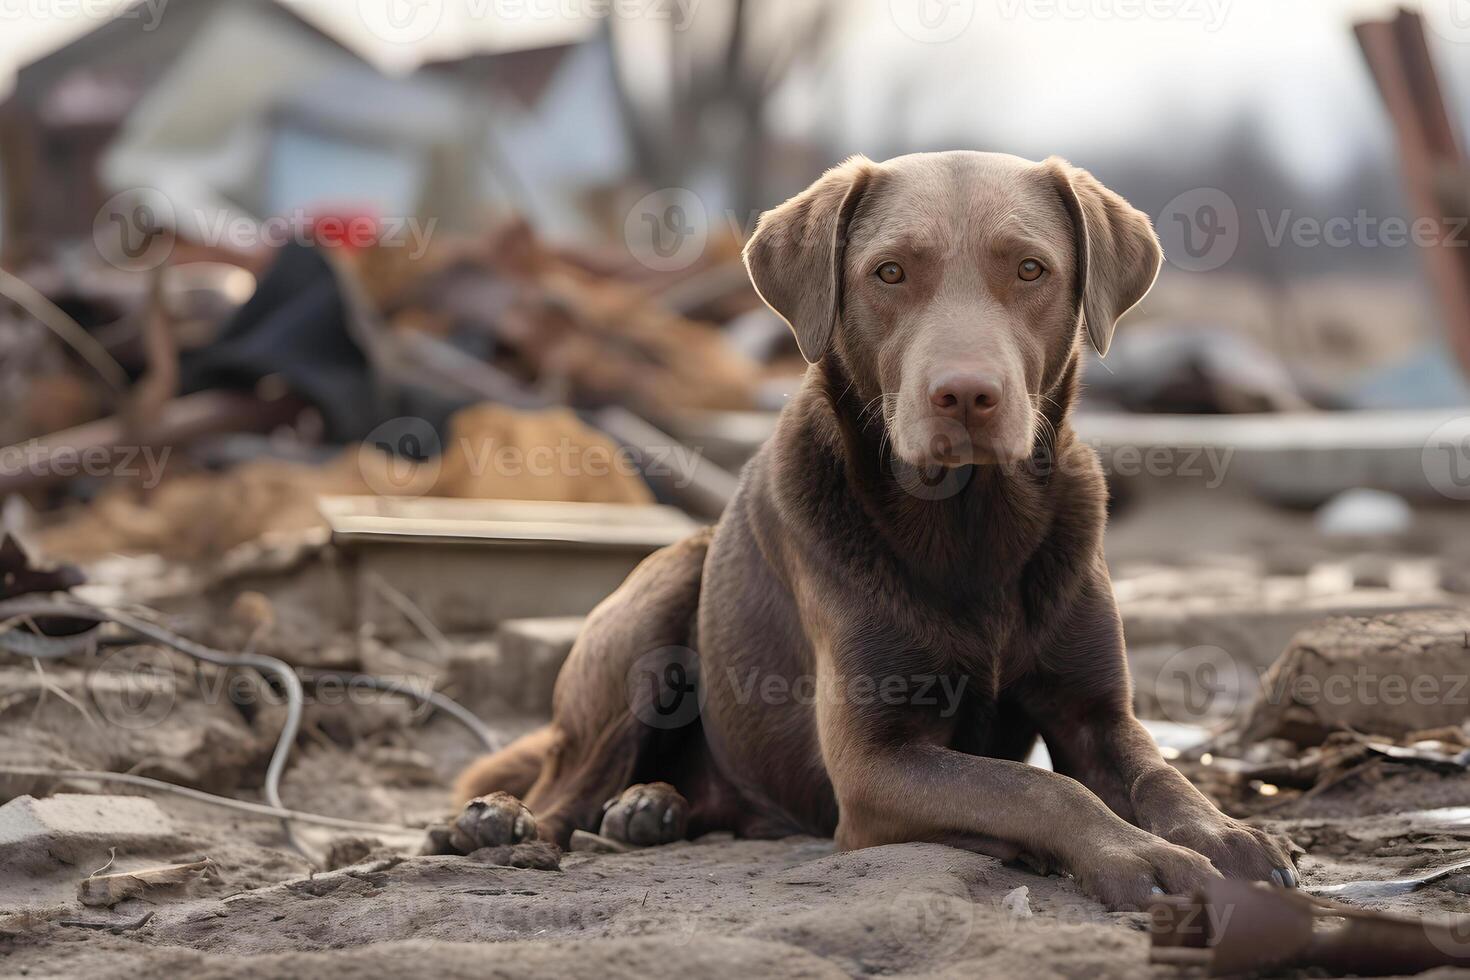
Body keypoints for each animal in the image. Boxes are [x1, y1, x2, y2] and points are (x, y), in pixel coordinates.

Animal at [449, 153, 1299, 910]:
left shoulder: (1098, 716)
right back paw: (504, 825)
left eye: (1031, 270)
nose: (966, 394)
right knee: (568, 780)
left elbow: (1160, 773)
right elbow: (1038, 786)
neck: (971, 524)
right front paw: (1138, 858)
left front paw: (1228, 833)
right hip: (657, 598)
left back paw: (650, 807)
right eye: (889, 273)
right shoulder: (873, 763)